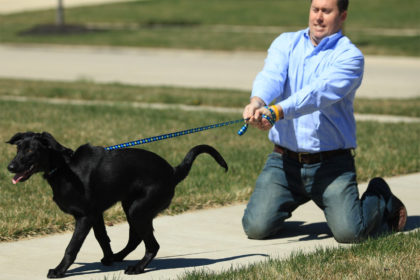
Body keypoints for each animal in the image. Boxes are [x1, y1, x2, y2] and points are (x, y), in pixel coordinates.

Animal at [6, 132, 228, 278]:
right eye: (18, 149)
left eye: (31, 150)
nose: (10, 167)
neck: (64, 167)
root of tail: (174, 172)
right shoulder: (95, 214)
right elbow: (102, 238)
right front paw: (109, 258)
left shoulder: (84, 216)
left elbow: (72, 247)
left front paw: (60, 270)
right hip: (131, 207)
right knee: (136, 239)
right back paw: (120, 257)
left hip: (138, 210)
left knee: (152, 245)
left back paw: (138, 268)